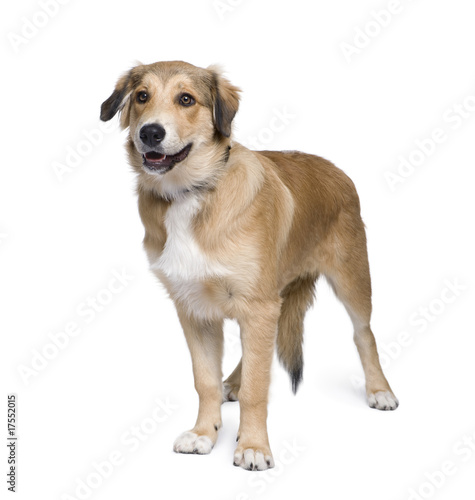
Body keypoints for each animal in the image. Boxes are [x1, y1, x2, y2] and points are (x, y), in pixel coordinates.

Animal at [101, 60, 402, 470]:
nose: (150, 132)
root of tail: (333, 167)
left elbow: (258, 389)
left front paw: (254, 446)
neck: (191, 193)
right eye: (142, 96)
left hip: (352, 279)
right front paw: (204, 432)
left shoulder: (259, 306)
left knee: (364, 334)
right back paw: (233, 381)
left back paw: (379, 389)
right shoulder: (195, 310)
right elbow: (205, 381)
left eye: (186, 99)